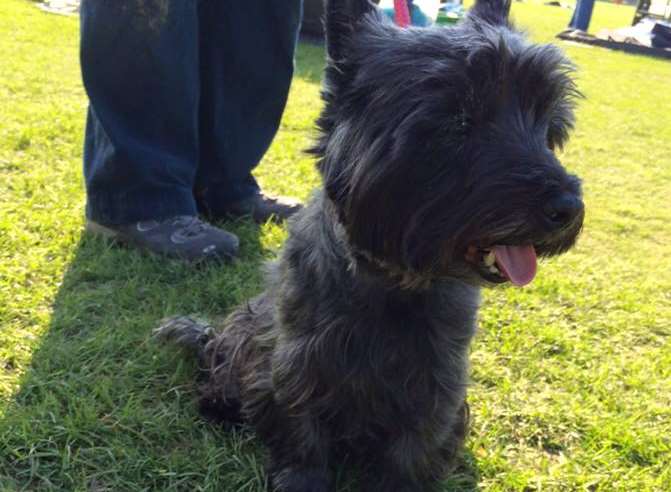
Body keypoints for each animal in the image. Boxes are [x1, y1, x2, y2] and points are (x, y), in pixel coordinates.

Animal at [155, 0, 584, 492]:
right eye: (458, 120)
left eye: (549, 126)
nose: (567, 207)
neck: (394, 279)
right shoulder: (299, 361)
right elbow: (302, 431)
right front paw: (302, 479)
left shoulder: (437, 382)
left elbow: (412, 447)